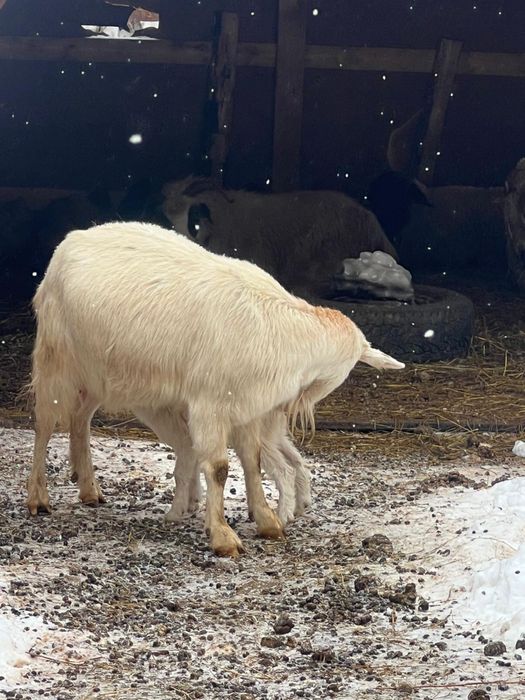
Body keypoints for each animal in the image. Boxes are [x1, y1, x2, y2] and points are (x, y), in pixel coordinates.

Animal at [27, 221, 404, 557]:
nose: (292, 411)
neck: (276, 329)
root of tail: (72, 239)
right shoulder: (209, 404)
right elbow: (220, 468)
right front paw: (223, 536)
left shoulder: (249, 408)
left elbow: (252, 461)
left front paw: (267, 521)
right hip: (55, 359)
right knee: (45, 424)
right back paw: (38, 498)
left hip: (97, 374)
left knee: (80, 418)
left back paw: (88, 488)